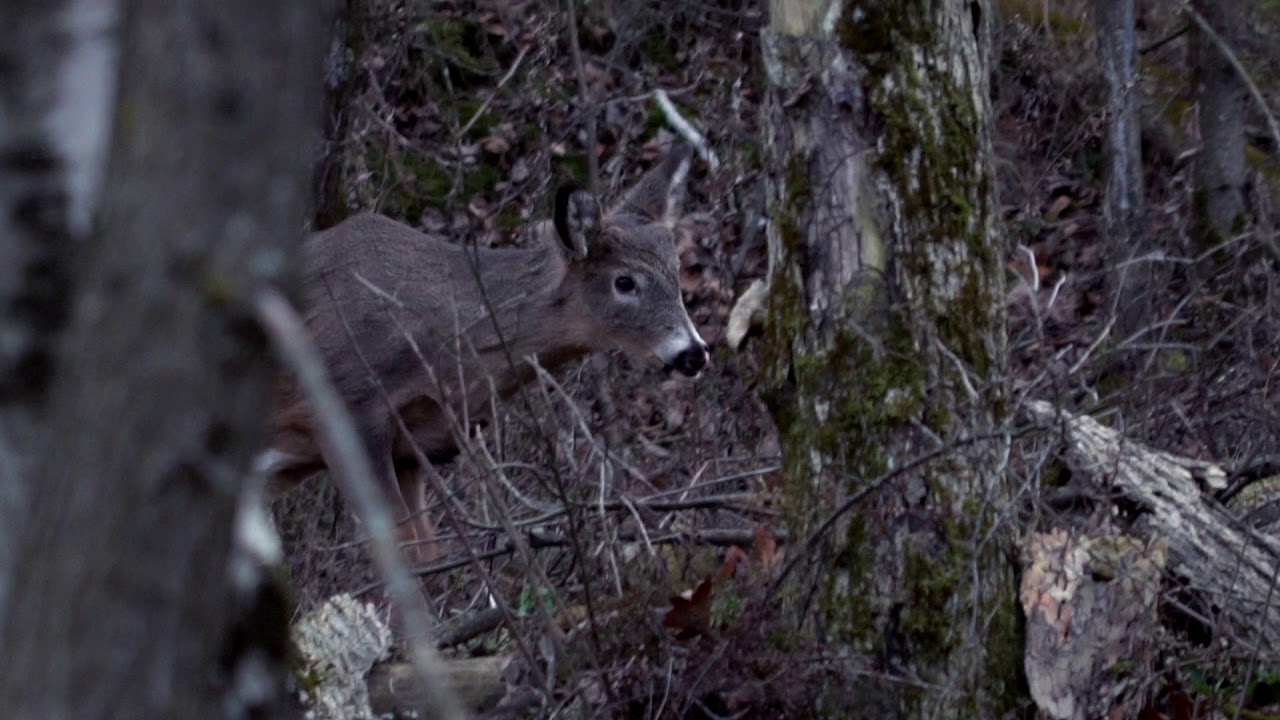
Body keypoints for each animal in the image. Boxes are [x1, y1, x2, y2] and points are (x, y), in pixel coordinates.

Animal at [256, 145, 709, 561]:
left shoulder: (413, 446)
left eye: (677, 269)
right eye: (625, 282)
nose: (694, 353)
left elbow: (429, 553)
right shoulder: (349, 411)